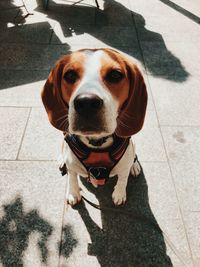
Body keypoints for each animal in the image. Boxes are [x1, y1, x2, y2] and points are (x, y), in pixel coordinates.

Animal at [41, 48, 148, 206]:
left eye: (115, 75)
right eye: (70, 75)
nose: (87, 103)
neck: (96, 142)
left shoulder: (123, 167)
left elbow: (123, 179)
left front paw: (119, 194)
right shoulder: (72, 166)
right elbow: (72, 177)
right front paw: (73, 192)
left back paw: (134, 166)